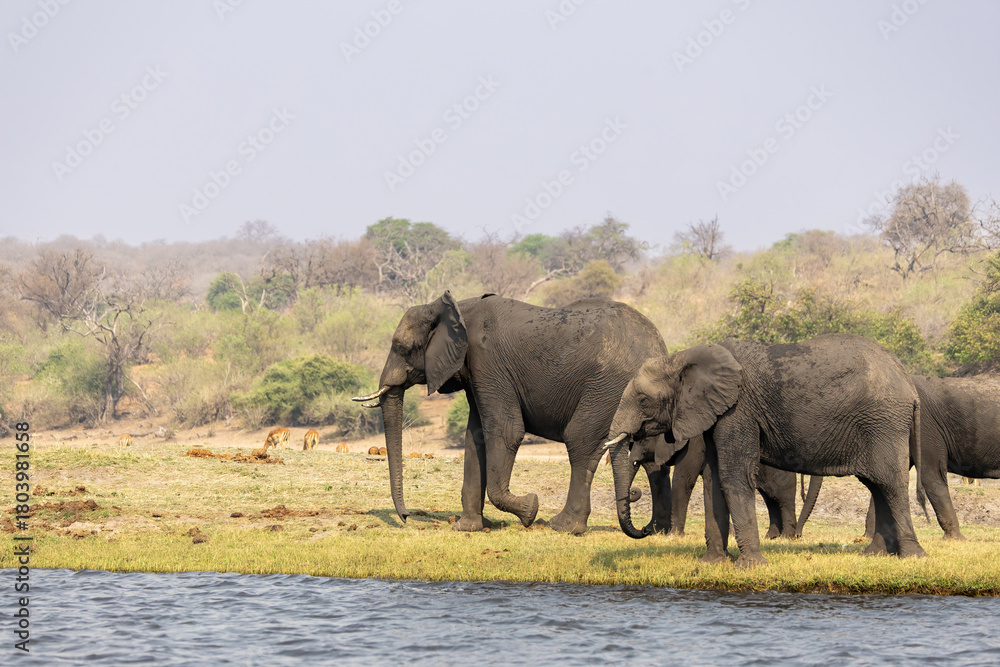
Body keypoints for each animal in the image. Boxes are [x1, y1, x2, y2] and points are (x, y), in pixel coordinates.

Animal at [353, 291, 671, 534]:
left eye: (402, 347)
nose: (407, 517)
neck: (454, 307)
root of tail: (659, 345)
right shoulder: (475, 371)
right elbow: (475, 437)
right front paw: (468, 528)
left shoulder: (488, 362)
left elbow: (506, 430)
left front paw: (530, 509)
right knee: (650, 455)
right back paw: (659, 531)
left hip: (610, 388)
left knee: (580, 440)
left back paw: (562, 527)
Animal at [616, 434, 822, 539]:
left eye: (642, 441)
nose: (644, 530)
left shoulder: (694, 444)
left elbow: (683, 480)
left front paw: (674, 536)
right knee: (769, 497)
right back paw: (772, 537)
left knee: (781, 497)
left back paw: (786, 537)